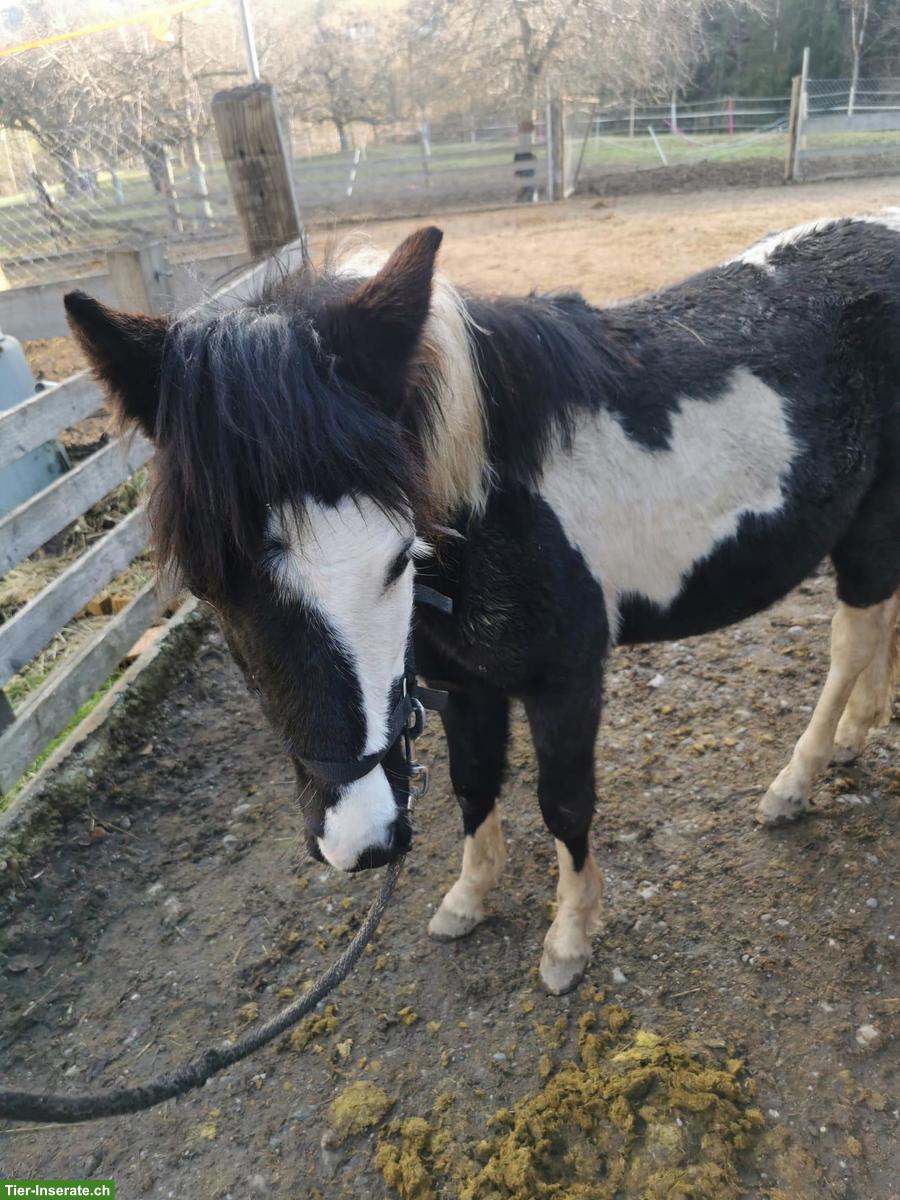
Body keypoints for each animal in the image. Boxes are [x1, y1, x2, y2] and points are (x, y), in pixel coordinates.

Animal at [64, 212, 900, 995]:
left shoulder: (567, 682)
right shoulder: (461, 684)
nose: (358, 842)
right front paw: (468, 899)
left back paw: (795, 783)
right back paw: (857, 734)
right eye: (208, 587)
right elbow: (472, 785)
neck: (491, 501)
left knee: (850, 645)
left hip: (867, 540)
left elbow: (564, 804)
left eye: (397, 556)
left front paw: (568, 941)